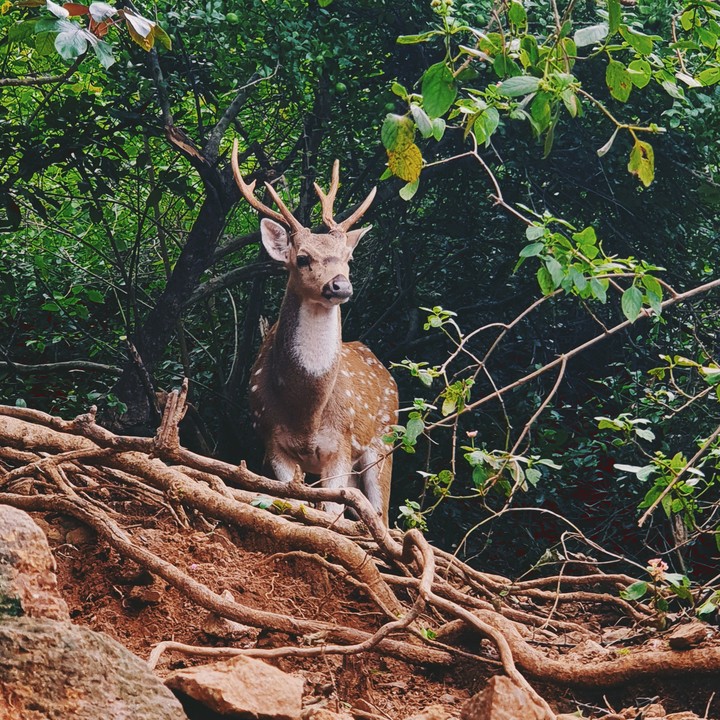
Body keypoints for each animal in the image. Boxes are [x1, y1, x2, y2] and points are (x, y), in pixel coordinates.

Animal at [231, 140, 399, 524]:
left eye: (347, 258)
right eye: (303, 258)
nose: (340, 285)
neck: (306, 413)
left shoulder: (341, 443)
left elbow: (332, 512)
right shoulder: (272, 442)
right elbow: (297, 503)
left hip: (384, 440)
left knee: (380, 514)